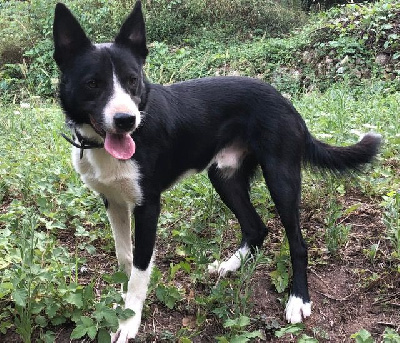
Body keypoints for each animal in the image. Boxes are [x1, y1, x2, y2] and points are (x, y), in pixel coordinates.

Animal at [53, 2, 382, 342]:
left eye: (132, 80)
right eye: (93, 83)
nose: (126, 120)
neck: (101, 145)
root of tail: (287, 103)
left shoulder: (148, 207)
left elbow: (141, 268)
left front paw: (129, 321)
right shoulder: (114, 202)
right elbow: (125, 258)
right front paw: (122, 303)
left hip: (281, 178)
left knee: (297, 243)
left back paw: (298, 300)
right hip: (224, 177)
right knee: (256, 227)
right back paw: (231, 265)